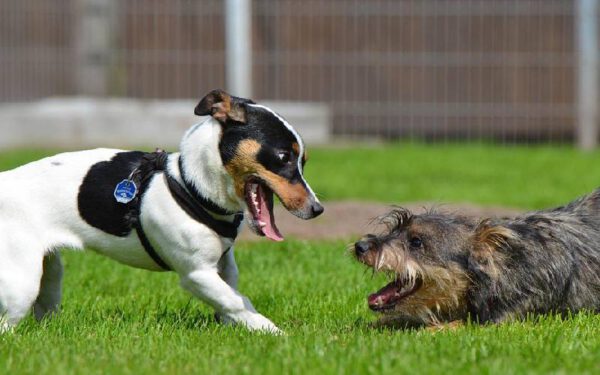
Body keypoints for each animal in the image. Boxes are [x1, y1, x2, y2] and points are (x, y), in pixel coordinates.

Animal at [0, 89, 324, 334]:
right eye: (283, 157)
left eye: (303, 161)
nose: (317, 209)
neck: (191, 185)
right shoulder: (196, 273)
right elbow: (236, 302)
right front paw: (273, 332)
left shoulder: (224, 266)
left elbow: (229, 299)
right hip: (22, 283)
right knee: (8, 323)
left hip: (49, 273)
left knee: (45, 306)